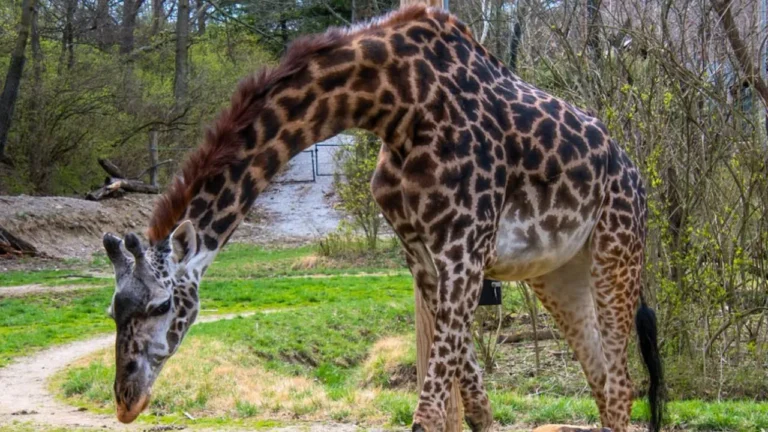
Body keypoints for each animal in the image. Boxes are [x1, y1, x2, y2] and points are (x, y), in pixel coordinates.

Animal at [102, 5, 664, 432]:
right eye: (112, 312)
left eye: (161, 305)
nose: (126, 399)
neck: (397, 104)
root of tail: (637, 178)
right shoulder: (423, 255)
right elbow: (476, 407)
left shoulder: (466, 251)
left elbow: (431, 413)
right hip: (558, 273)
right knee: (601, 382)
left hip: (617, 252)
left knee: (620, 385)